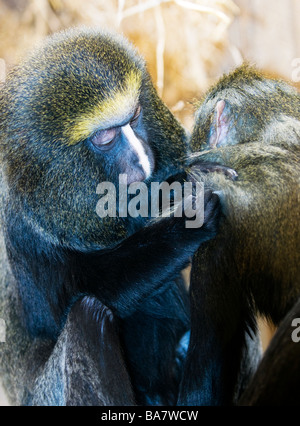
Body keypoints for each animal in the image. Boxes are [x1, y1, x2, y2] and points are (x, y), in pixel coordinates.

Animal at [0, 26, 221, 406]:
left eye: (135, 118)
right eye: (105, 137)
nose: (142, 158)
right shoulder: (23, 228)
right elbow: (82, 296)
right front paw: (188, 217)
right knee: (87, 316)